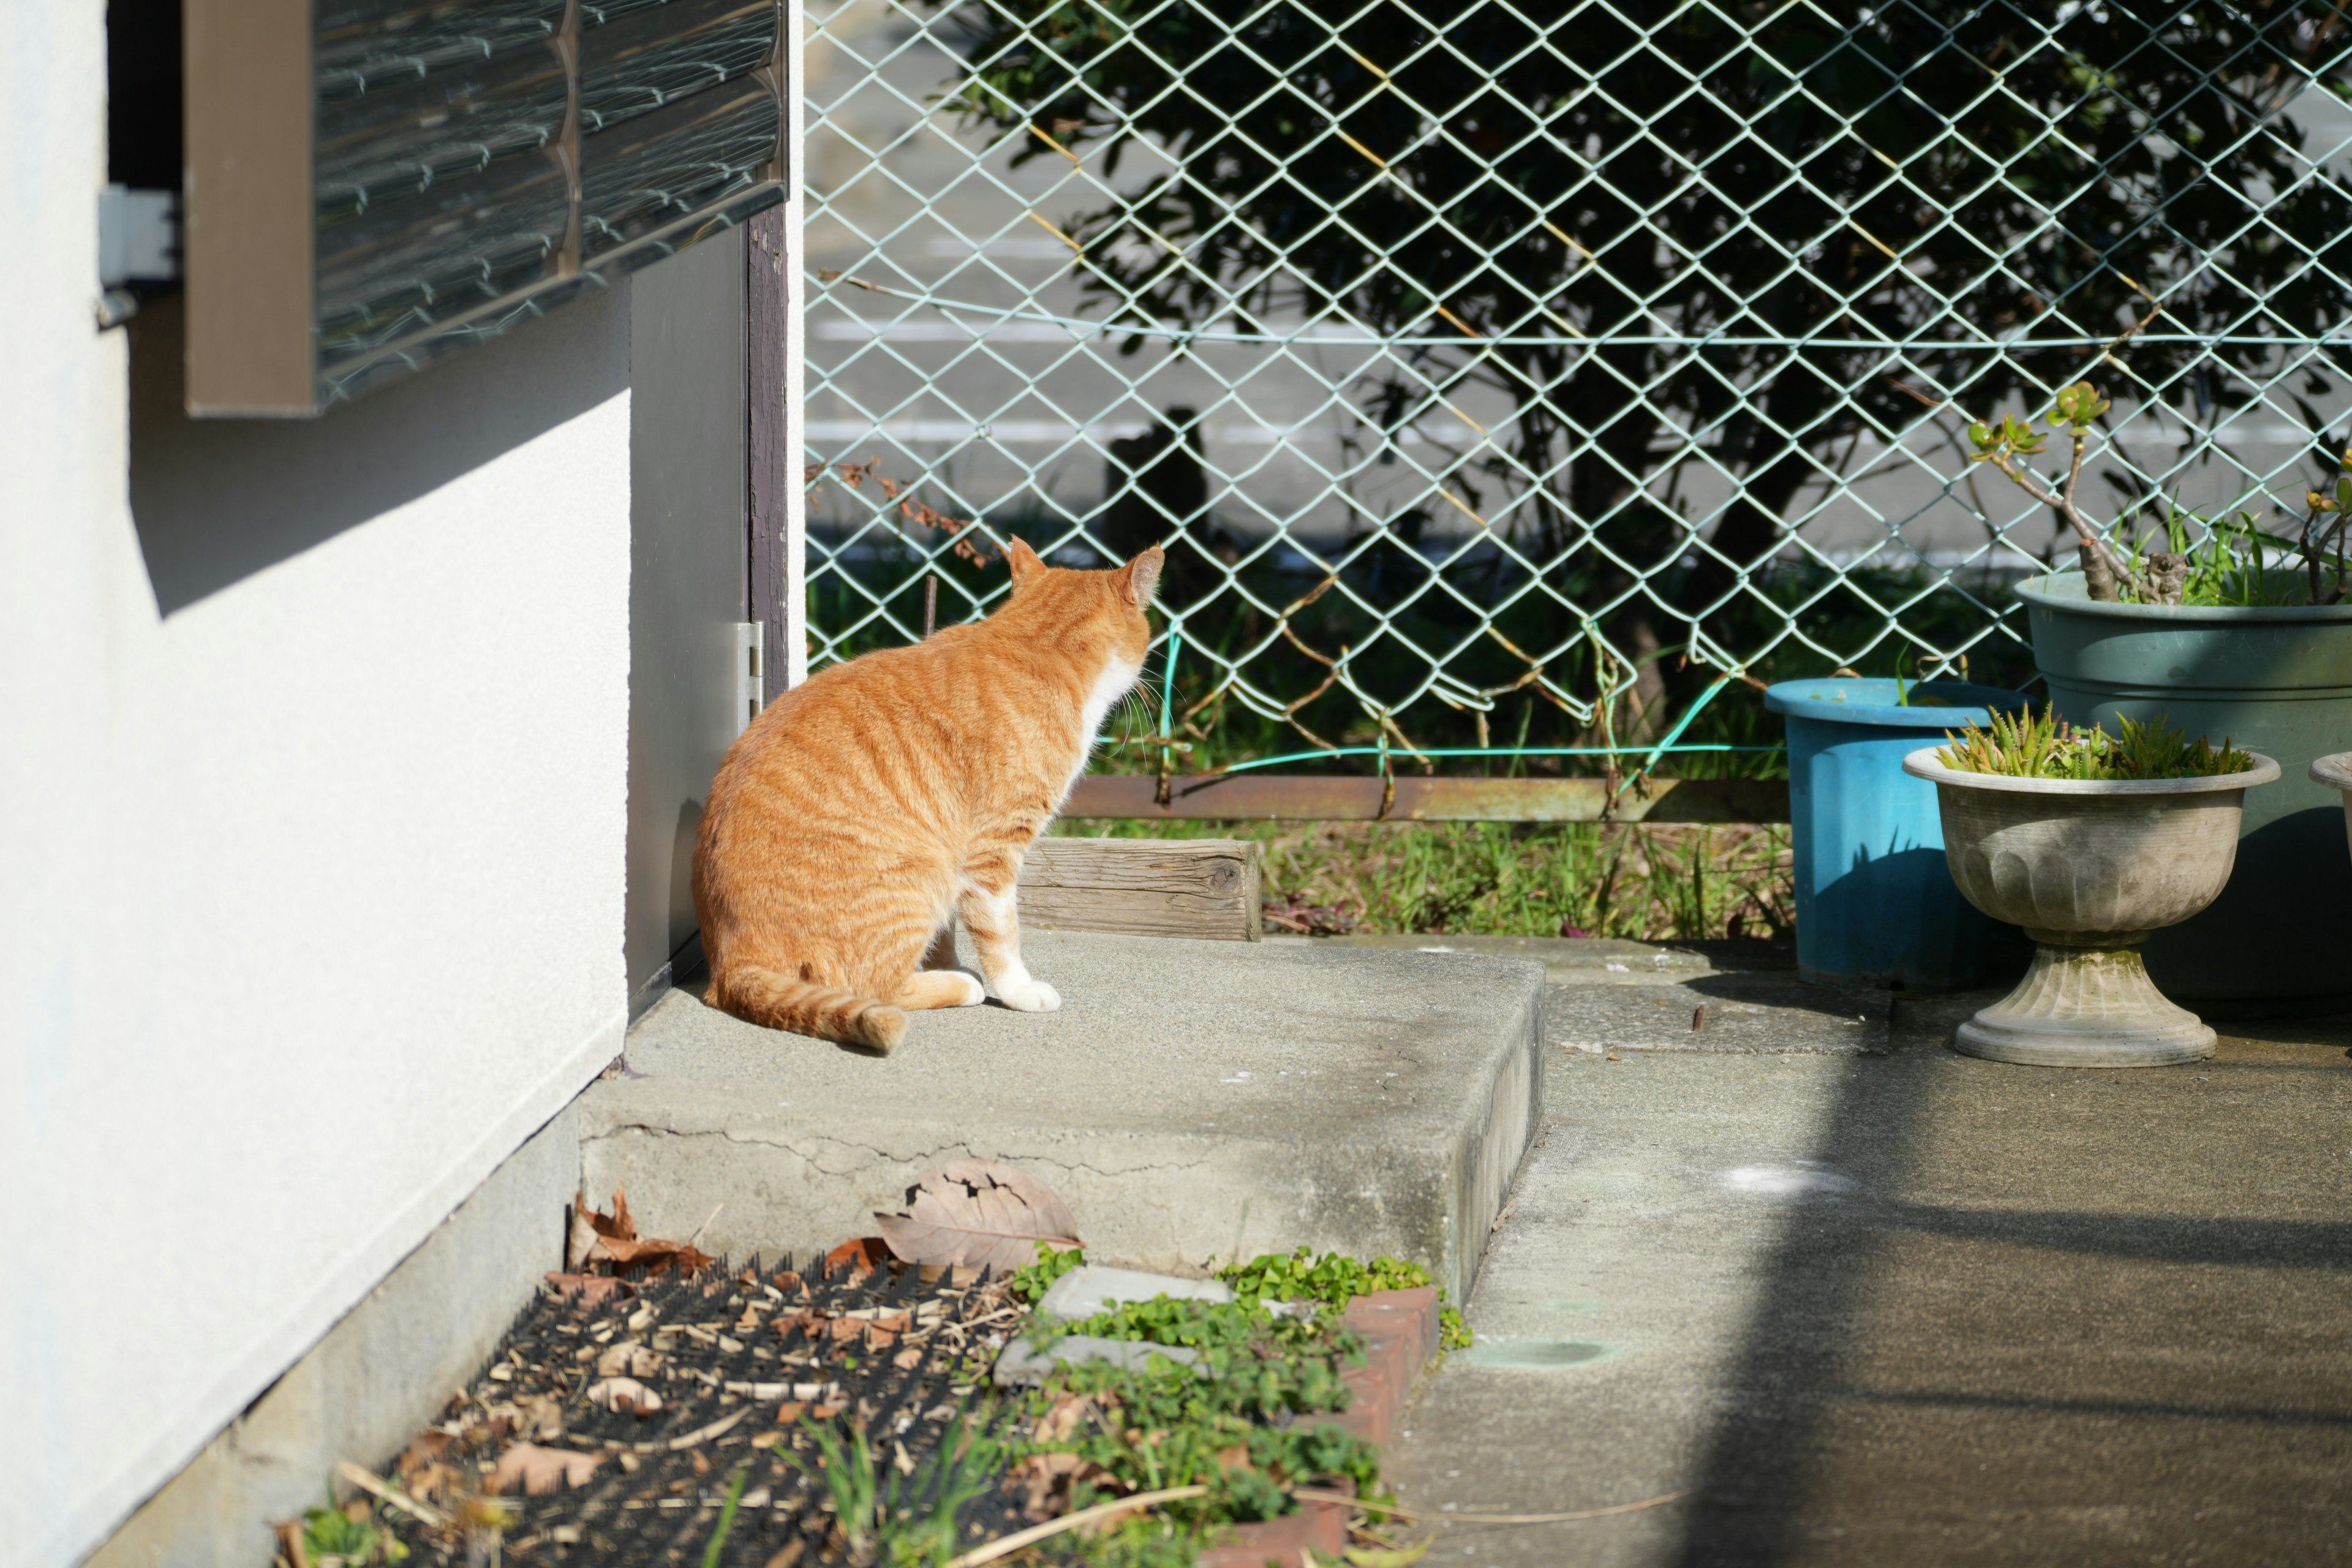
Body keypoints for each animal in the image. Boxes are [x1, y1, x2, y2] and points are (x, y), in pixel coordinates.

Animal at [687, 543, 1166, 1053]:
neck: (1036, 643)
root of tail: (728, 967)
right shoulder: (993, 851)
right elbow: (1003, 936)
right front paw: (1017, 991)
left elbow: (953, 930)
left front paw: (946, 958)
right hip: (923, 876)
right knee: (877, 986)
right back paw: (961, 985)